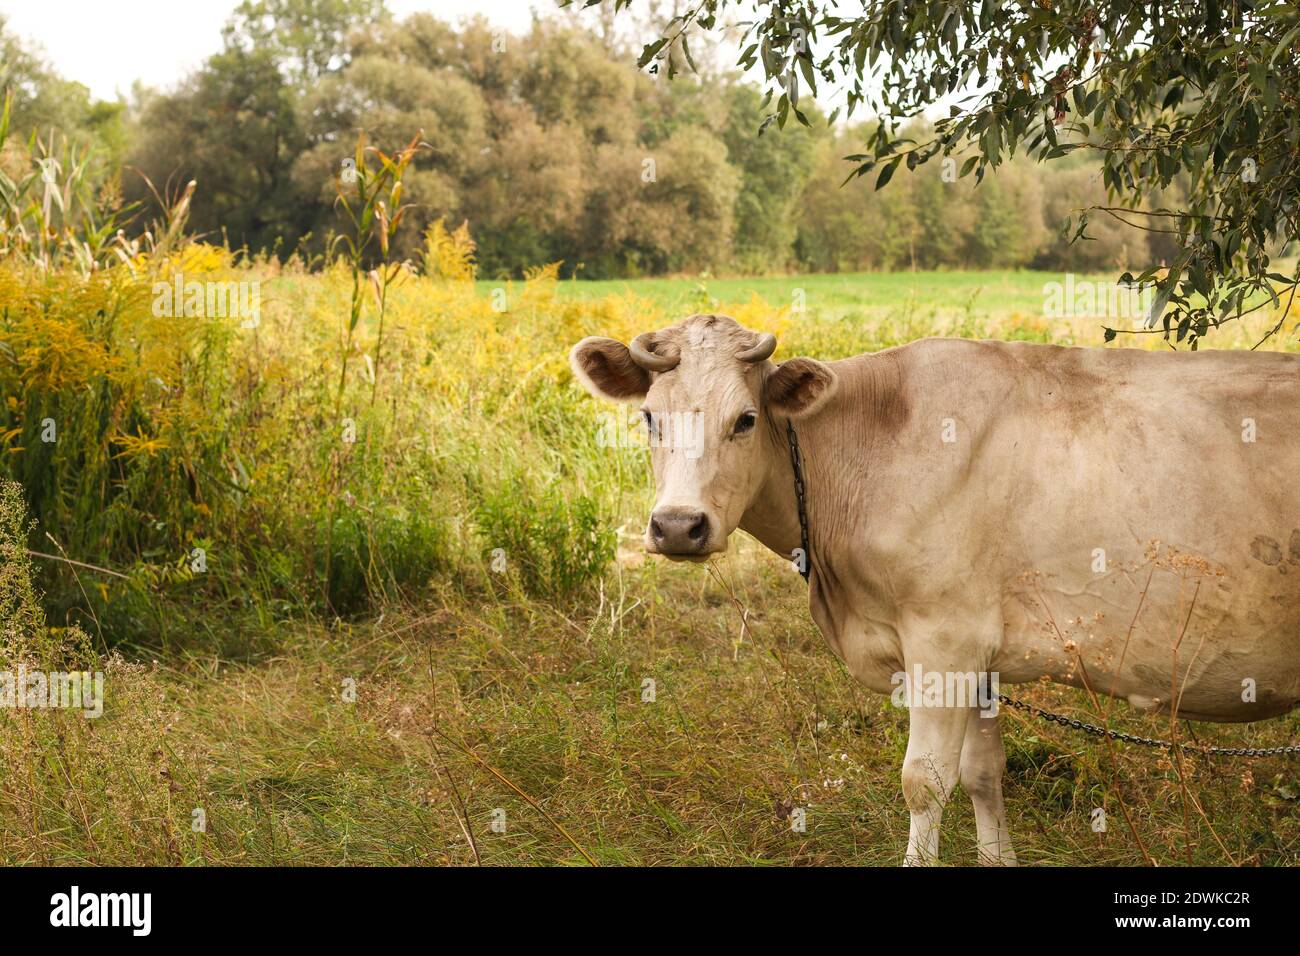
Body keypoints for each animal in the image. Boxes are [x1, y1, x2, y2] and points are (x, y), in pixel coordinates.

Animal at [570, 313, 1300, 865]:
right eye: (650, 419)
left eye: (745, 419)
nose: (677, 525)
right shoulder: (981, 653)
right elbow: (983, 772)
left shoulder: (944, 639)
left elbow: (924, 781)